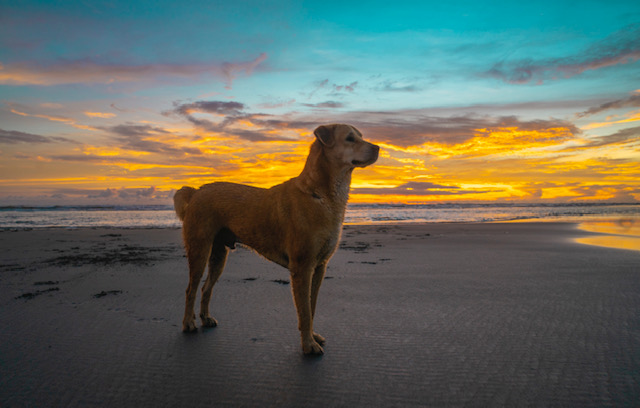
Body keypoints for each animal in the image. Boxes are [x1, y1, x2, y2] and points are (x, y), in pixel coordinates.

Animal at [173, 124, 379, 354]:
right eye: (350, 138)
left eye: (360, 136)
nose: (378, 147)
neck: (320, 195)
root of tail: (195, 192)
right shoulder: (302, 267)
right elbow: (304, 311)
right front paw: (308, 345)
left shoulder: (319, 267)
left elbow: (312, 307)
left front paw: (313, 336)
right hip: (199, 248)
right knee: (191, 289)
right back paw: (188, 323)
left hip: (219, 254)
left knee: (206, 287)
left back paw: (206, 318)